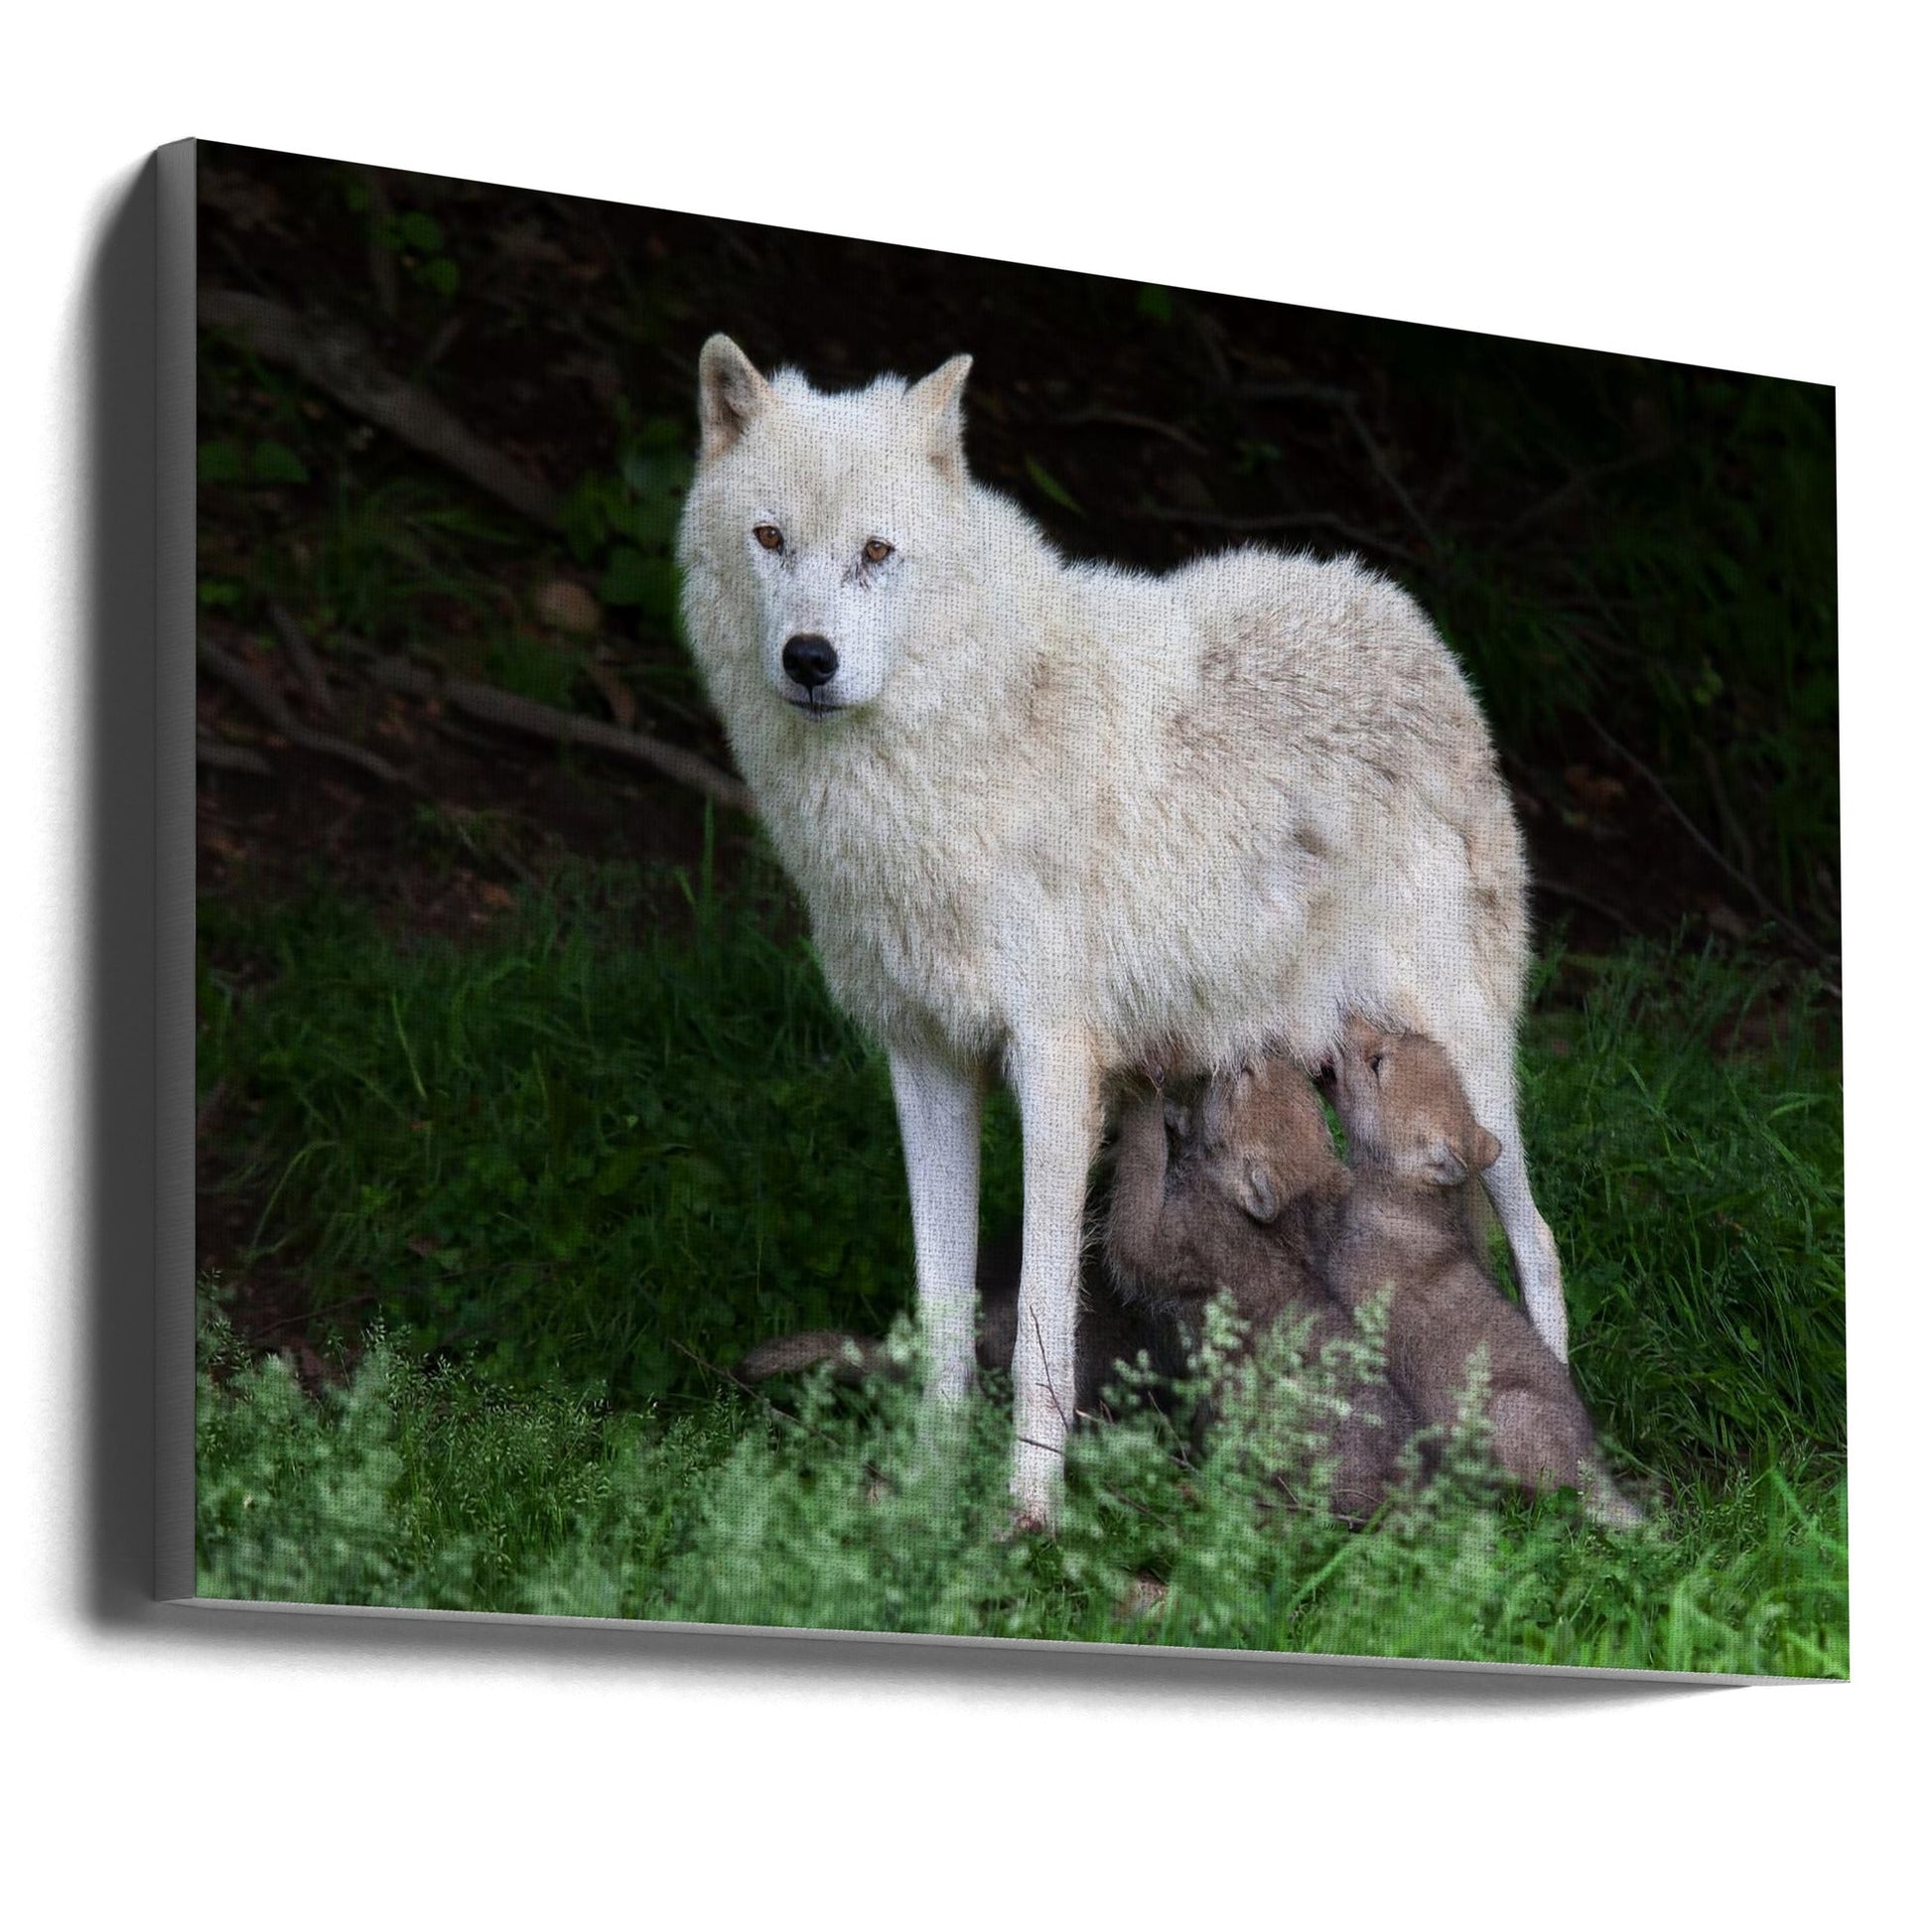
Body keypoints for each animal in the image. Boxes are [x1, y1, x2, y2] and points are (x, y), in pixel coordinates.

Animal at [676, 336, 1558, 1525]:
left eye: (876, 552)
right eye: (770, 539)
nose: (808, 658)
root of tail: (1395, 612)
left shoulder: (1054, 1069)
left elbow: (1041, 1324)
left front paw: (1025, 1515)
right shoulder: (924, 1061)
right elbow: (941, 1315)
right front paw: (925, 1498)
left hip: (1464, 1059)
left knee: (1539, 1241)